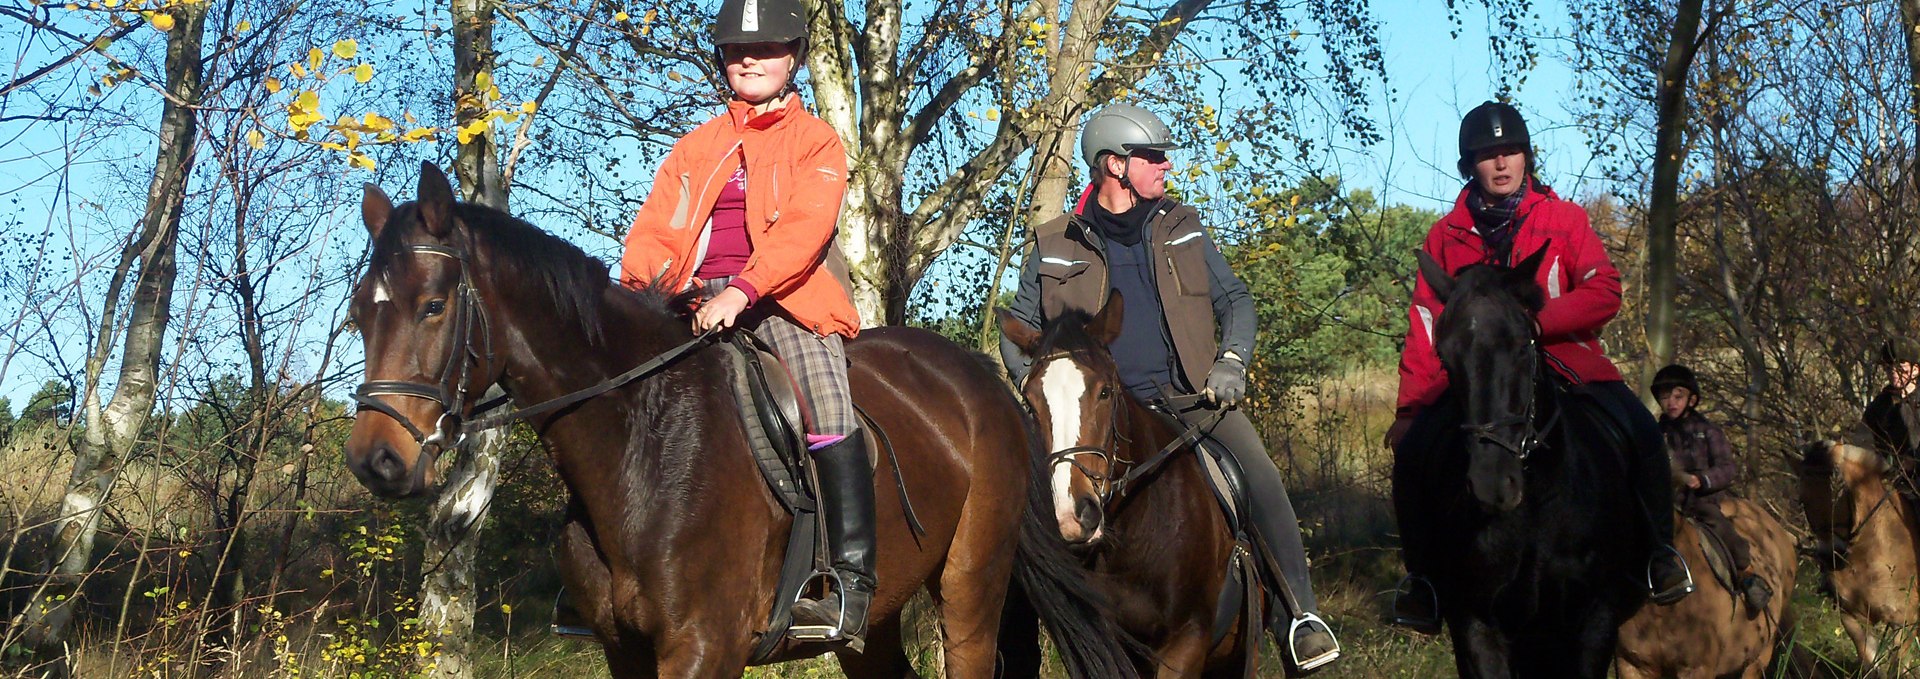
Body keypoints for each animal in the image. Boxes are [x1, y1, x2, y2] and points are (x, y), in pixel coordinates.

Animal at [341, 163, 1136, 679]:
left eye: (433, 306)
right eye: (356, 312)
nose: (375, 461)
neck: (641, 440)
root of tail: (985, 383)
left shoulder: (701, 647)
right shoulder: (626, 651)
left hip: (969, 587)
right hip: (874, 623)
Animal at [1397, 251, 1651, 679]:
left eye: (1521, 346)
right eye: (1445, 358)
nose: (1493, 485)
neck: (1536, 509)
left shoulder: (1595, 620)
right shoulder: (1476, 622)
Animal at [1797, 441, 1920, 675]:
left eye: (1838, 489)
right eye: (1803, 499)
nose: (1829, 556)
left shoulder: (1906, 622)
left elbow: (1897, 665)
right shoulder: (1851, 615)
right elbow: (1869, 660)